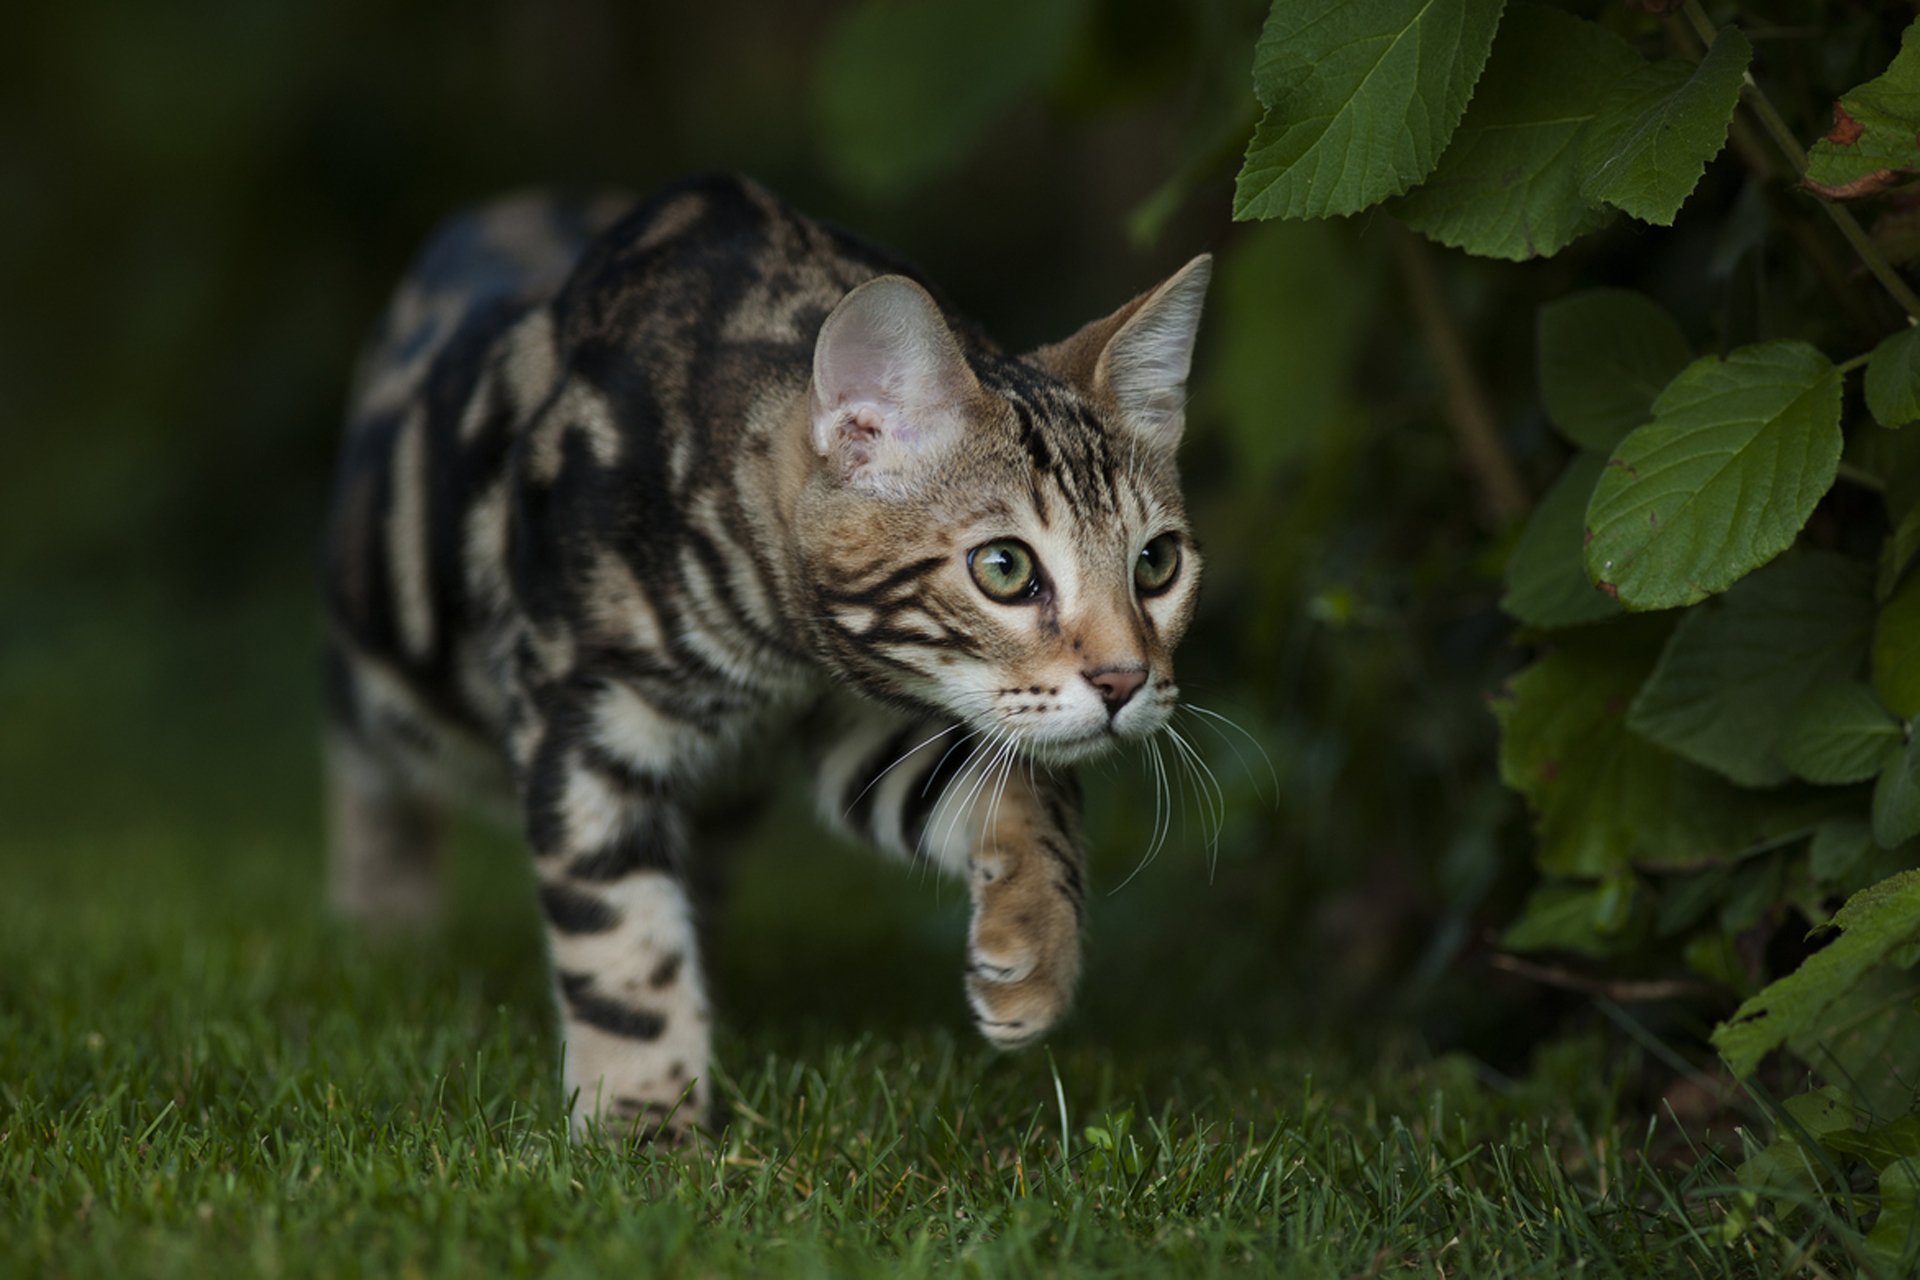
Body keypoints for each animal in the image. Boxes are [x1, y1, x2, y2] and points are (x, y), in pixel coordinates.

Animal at [322, 172, 1205, 1143]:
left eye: (1157, 564)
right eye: (1004, 568)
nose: (1126, 681)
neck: (779, 649)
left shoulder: (857, 718)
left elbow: (1025, 792)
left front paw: (1035, 949)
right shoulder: (581, 716)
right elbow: (620, 945)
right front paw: (640, 1130)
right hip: (396, 671)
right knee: (368, 759)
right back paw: (385, 920)